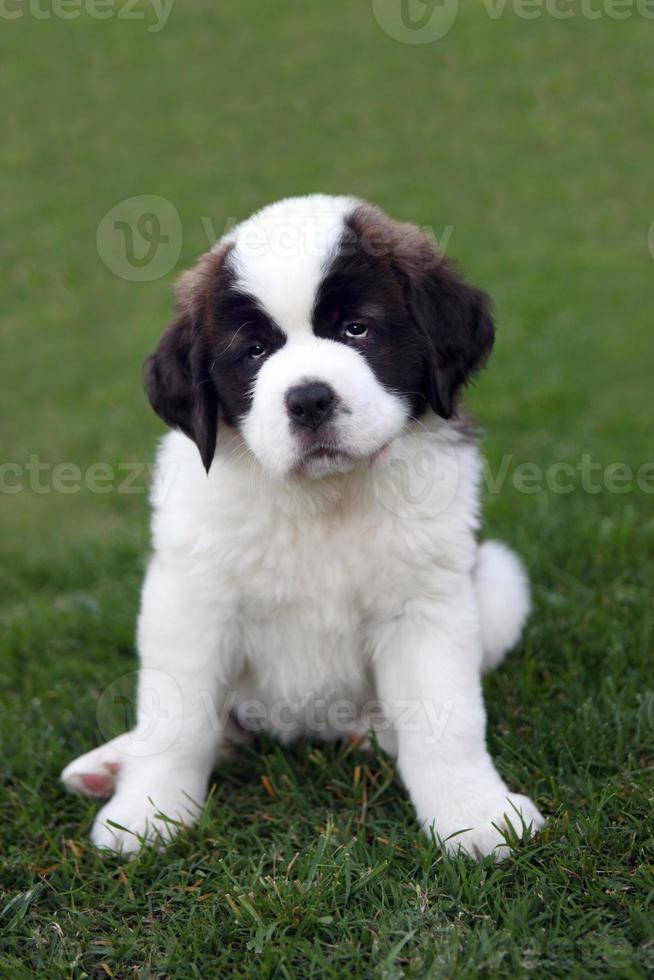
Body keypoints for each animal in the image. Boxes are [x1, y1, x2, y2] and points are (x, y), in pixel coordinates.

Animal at [61, 195, 544, 852]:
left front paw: (473, 813)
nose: (309, 399)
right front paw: (147, 809)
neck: (324, 500)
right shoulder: (189, 599)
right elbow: (176, 715)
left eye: (356, 328)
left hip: (496, 577)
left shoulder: (427, 600)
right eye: (254, 352)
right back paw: (113, 762)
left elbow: (446, 717)